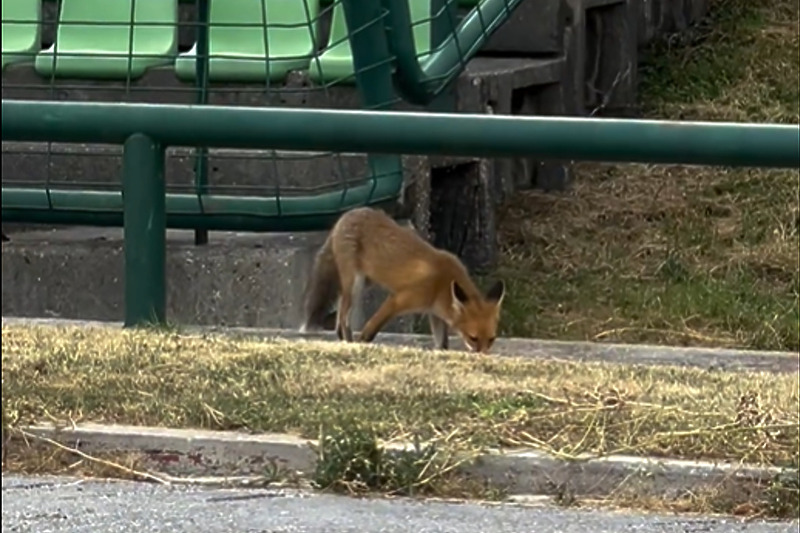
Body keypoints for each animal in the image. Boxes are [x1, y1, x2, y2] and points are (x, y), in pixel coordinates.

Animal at [300, 208, 506, 354]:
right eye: (473, 338)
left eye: (491, 339)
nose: (483, 357)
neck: (442, 285)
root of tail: (345, 216)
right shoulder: (398, 300)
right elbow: (370, 329)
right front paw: (362, 345)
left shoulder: (435, 313)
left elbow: (442, 344)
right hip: (355, 284)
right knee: (343, 317)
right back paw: (349, 343)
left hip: (365, 282)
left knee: (339, 312)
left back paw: (342, 340)